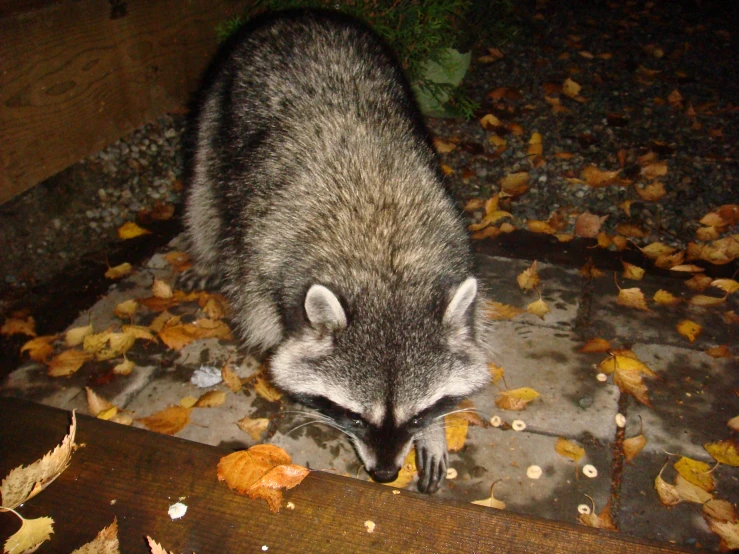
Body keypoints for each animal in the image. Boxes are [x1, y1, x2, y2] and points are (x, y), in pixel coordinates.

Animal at [183, 9, 492, 492]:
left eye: (416, 414)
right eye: (356, 417)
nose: (384, 475)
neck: (385, 262)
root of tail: (300, 16)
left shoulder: (451, 230)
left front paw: (435, 430)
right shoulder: (263, 261)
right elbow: (272, 336)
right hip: (218, 101)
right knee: (202, 191)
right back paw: (204, 251)